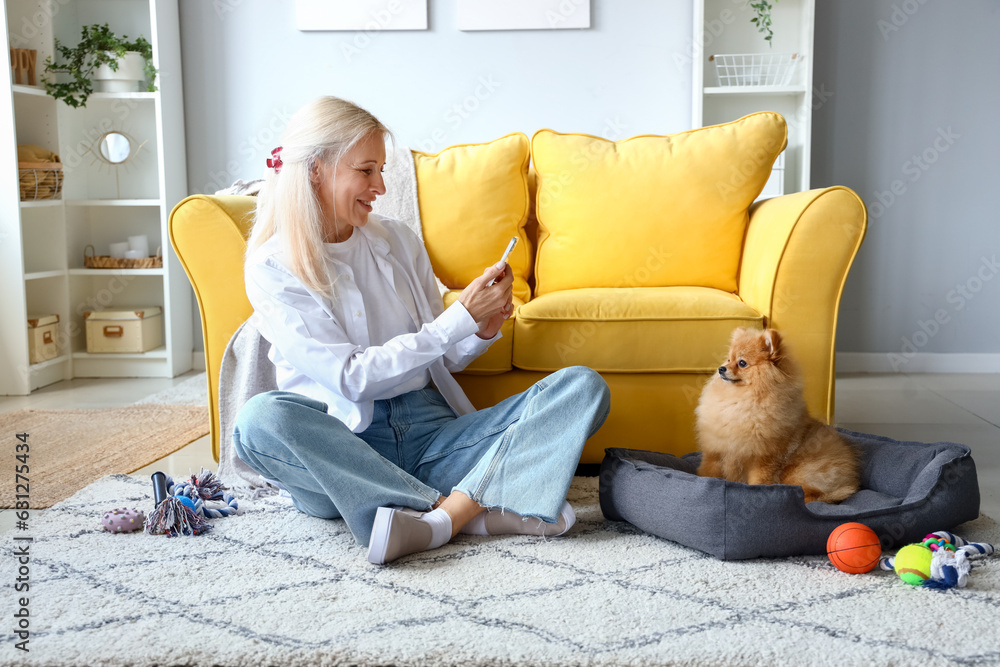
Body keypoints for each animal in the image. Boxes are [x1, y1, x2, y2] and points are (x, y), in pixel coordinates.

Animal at [696, 326, 860, 504]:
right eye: (728, 359)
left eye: (742, 363)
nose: (721, 368)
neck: (741, 401)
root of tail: (850, 478)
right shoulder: (716, 451)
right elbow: (709, 472)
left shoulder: (764, 458)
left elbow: (759, 481)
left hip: (801, 472)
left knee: (810, 494)